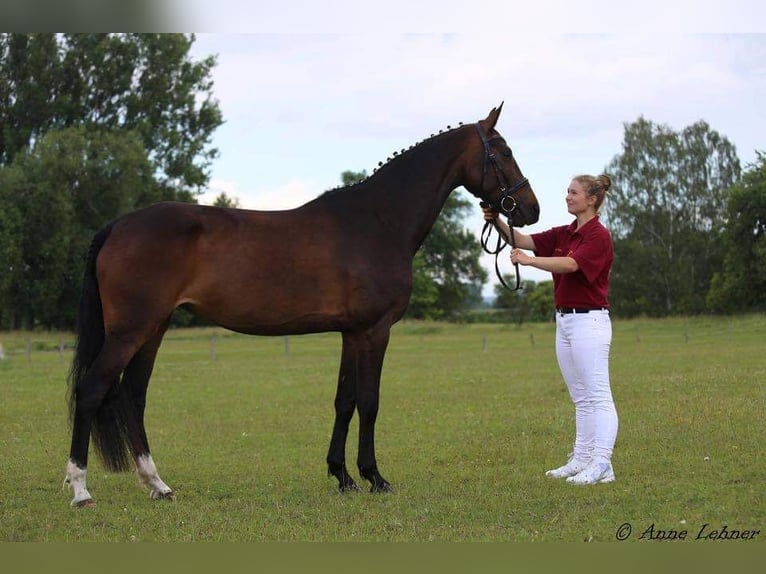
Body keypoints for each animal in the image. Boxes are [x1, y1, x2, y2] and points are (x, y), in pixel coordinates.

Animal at [63, 104, 540, 508]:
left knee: (133, 396)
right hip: (130, 330)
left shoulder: (352, 332)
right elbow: (370, 401)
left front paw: (343, 477)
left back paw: (157, 485)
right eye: (503, 152)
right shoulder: (375, 330)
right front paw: (375, 478)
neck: (377, 221)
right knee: (92, 390)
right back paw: (81, 489)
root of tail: (117, 225)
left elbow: (345, 400)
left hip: (153, 328)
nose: (530, 210)